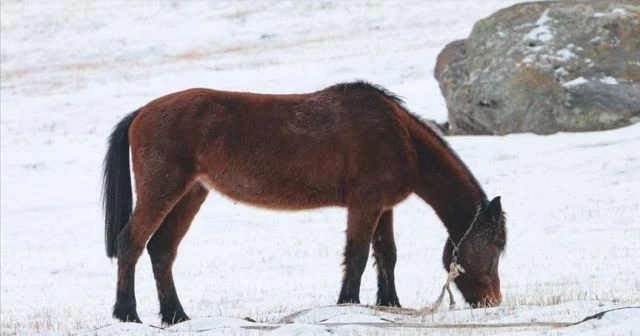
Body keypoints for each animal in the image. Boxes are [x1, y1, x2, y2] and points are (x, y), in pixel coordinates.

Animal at [102, 80, 508, 326]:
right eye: (495, 247)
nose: (493, 301)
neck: (399, 137)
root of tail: (140, 113)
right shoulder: (364, 204)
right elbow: (358, 255)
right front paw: (347, 305)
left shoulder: (384, 207)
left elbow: (386, 256)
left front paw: (388, 305)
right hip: (162, 190)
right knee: (131, 243)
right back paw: (127, 314)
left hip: (190, 194)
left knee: (162, 250)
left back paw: (176, 316)